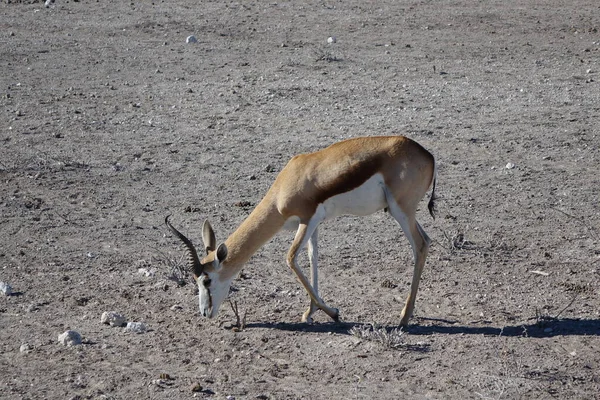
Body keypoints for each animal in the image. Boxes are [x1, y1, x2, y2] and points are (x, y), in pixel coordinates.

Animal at [166, 136, 438, 326]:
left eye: (206, 279)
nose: (204, 313)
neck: (284, 186)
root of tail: (428, 156)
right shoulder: (312, 224)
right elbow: (311, 257)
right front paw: (311, 311)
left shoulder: (307, 219)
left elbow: (290, 258)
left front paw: (333, 313)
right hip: (403, 212)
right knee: (426, 241)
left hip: (400, 210)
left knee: (420, 245)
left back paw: (404, 317)